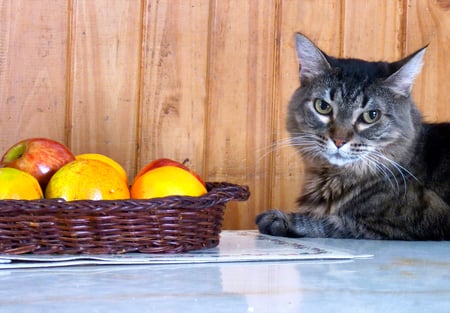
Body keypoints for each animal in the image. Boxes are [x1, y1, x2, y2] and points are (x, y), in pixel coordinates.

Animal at [256, 32, 450, 239]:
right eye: (322, 107)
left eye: (371, 115)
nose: (339, 140)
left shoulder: (413, 220)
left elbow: (332, 222)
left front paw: (281, 219)